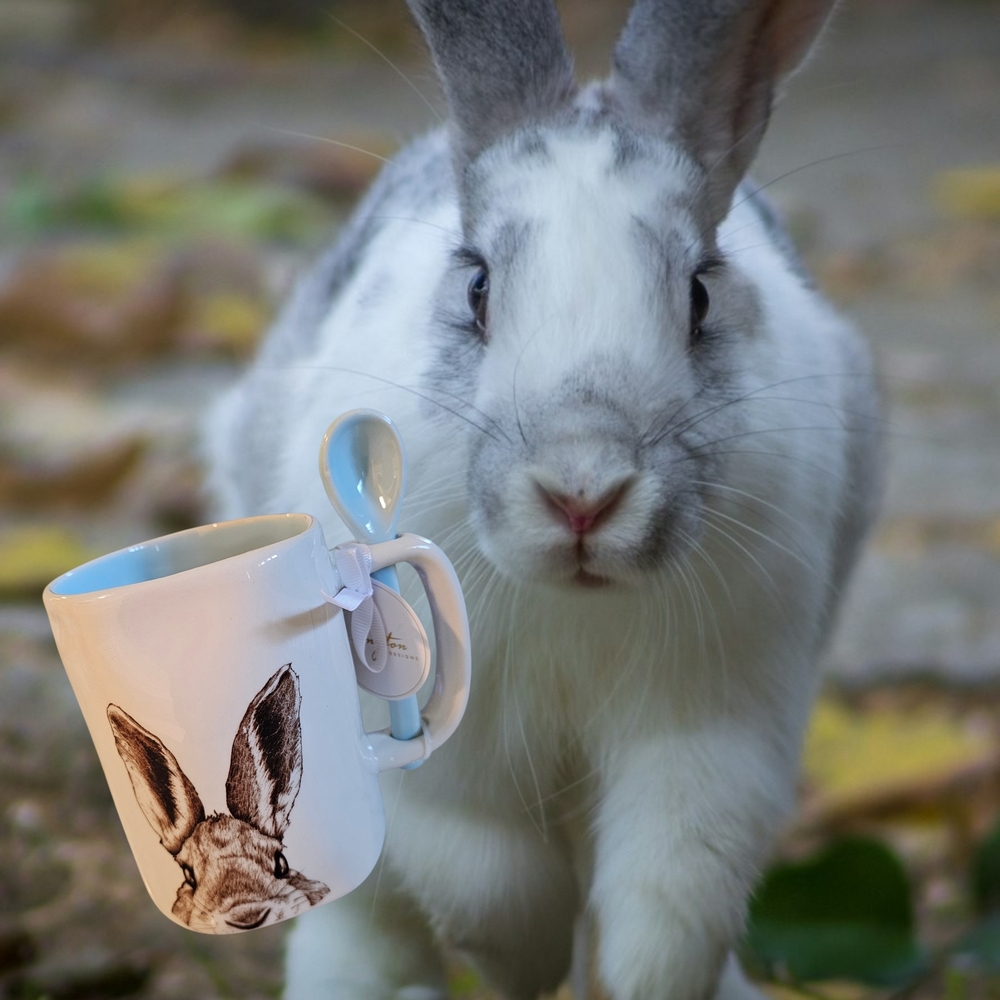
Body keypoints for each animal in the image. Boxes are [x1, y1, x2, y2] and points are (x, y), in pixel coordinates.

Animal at [203, 0, 883, 996]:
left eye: (700, 295)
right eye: (478, 287)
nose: (582, 496)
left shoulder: (715, 741)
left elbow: (666, 908)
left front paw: (628, 983)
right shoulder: (426, 766)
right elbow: (489, 880)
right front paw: (524, 963)